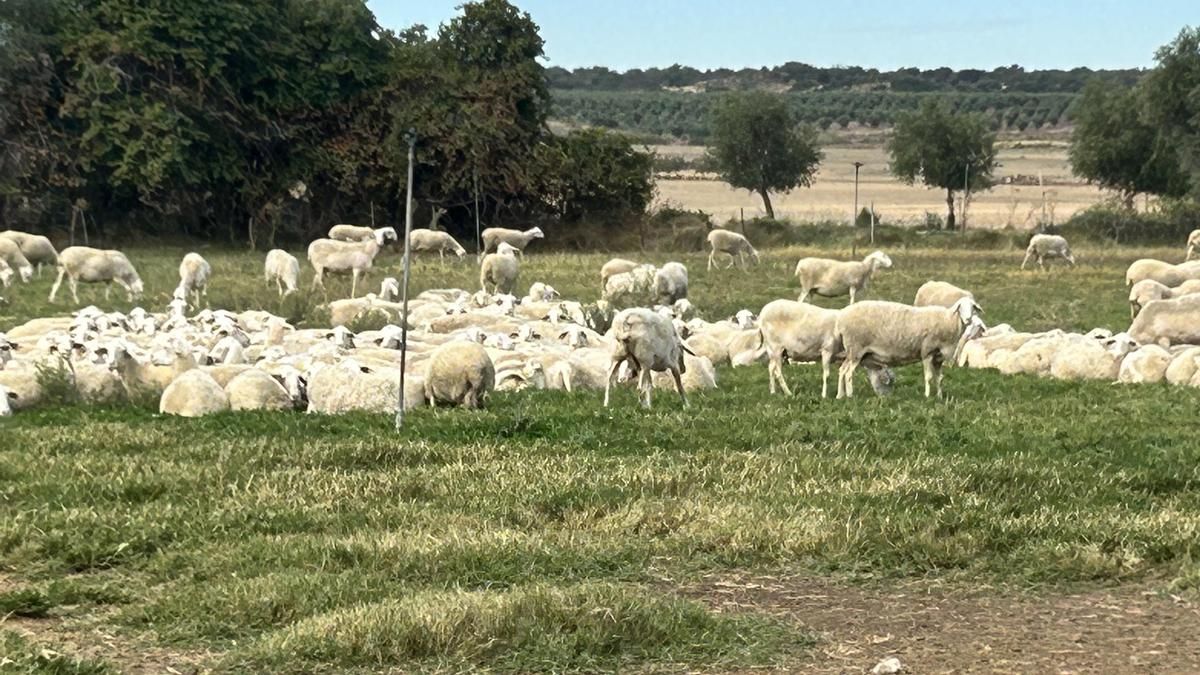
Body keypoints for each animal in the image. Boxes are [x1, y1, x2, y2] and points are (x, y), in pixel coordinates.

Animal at [834, 298, 985, 398]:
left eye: (973, 307)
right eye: (960, 307)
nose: (968, 319)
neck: (948, 321)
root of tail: (841, 318)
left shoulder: (938, 357)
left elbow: (939, 378)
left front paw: (940, 397)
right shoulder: (927, 351)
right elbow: (929, 377)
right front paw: (927, 396)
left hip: (853, 352)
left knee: (842, 370)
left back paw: (840, 395)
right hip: (856, 348)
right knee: (848, 373)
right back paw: (850, 395)